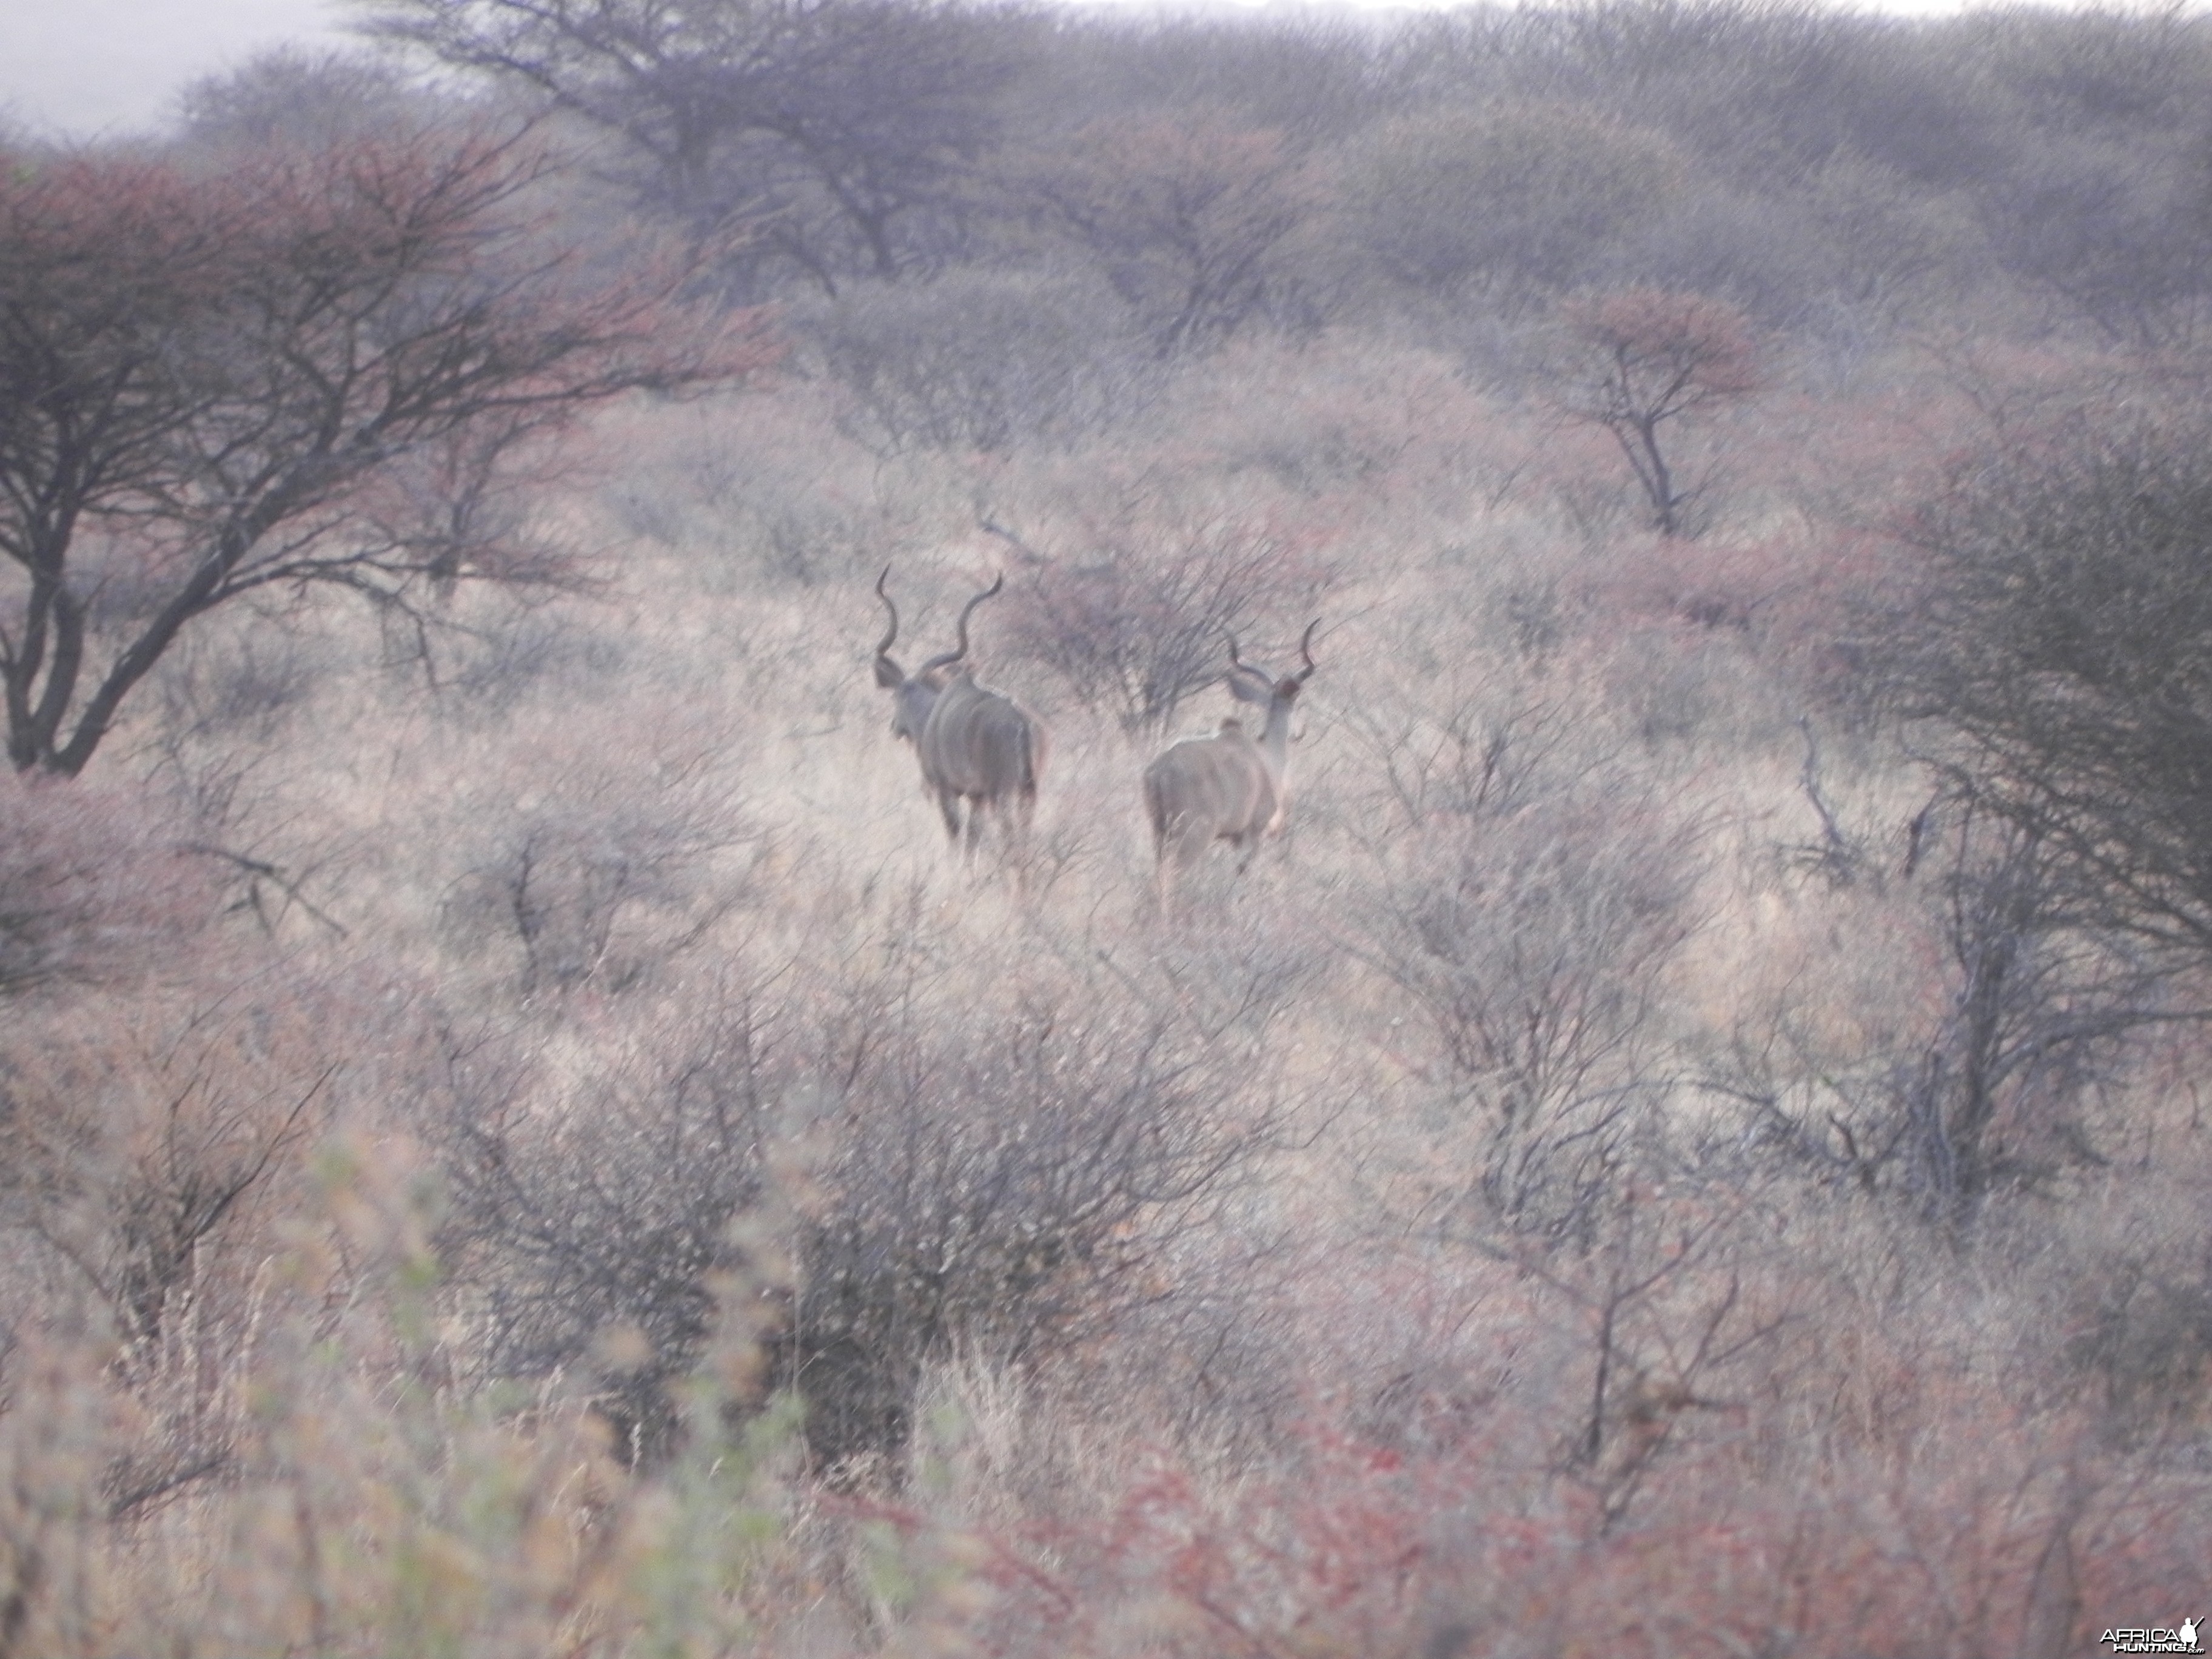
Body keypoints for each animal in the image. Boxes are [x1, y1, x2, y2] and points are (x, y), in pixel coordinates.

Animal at [871, 571, 1044, 862]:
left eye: (895, 698)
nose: (895, 728)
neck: (931, 715)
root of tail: (1022, 723)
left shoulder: (948, 790)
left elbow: (956, 835)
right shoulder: (976, 797)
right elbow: (973, 838)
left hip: (1002, 792)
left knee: (1010, 838)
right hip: (1028, 792)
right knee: (1024, 836)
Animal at [1141, 619, 1309, 911]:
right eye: (1295, 704)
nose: (1299, 732)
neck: (1266, 755)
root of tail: (1160, 772)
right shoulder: (1251, 835)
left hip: (1161, 834)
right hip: (1192, 837)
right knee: (1170, 880)